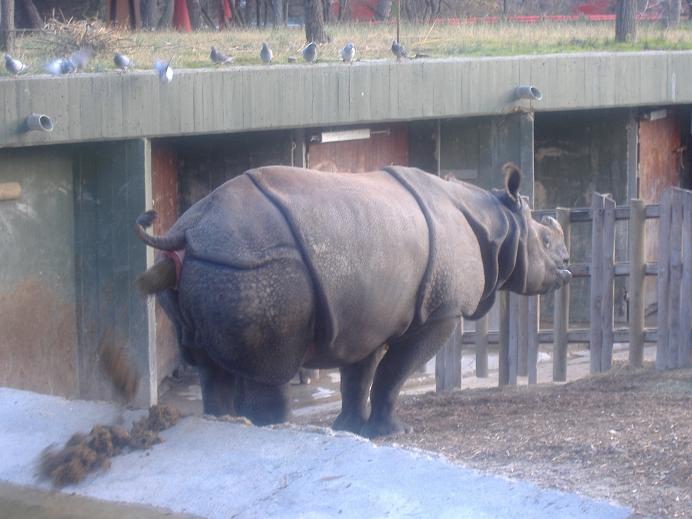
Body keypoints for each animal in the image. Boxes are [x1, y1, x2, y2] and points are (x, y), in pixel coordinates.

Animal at [136, 164, 571, 438]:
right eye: (546, 242)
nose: (567, 267)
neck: (500, 223)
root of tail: (187, 232)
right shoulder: (441, 312)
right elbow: (393, 374)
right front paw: (393, 434)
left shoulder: (368, 316)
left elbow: (359, 376)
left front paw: (349, 429)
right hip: (254, 267)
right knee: (269, 366)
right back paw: (273, 427)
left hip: (211, 267)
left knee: (210, 367)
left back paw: (226, 422)